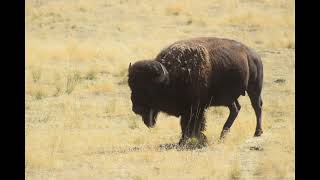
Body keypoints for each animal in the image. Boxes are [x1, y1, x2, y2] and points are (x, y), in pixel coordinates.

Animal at [127, 37, 262, 146]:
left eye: (149, 89)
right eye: (131, 86)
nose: (136, 109)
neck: (170, 77)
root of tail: (253, 55)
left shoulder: (195, 108)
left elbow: (191, 124)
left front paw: (190, 140)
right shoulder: (188, 109)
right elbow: (186, 125)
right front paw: (192, 139)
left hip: (254, 88)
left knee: (257, 107)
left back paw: (257, 133)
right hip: (229, 98)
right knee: (236, 109)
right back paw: (222, 136)